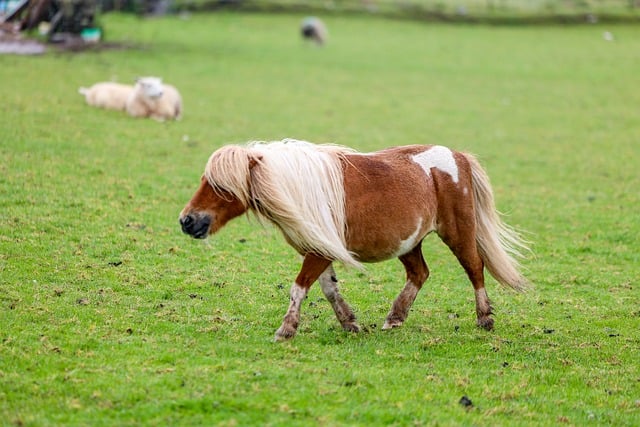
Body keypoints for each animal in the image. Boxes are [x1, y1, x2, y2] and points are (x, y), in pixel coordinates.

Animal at [179, 139, 529, 341]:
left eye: (219, 186)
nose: (187, 220)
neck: (301, 188)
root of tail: (458, 157)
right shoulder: (319, 249)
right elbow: (329, 290)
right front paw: (349, 323)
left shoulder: (319, 251)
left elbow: (299, 288)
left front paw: (286, 329)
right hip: (408, 242)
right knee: (419, 274)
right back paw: (395, 318)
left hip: (458, 232)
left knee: (474, 268)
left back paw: (484, 319)